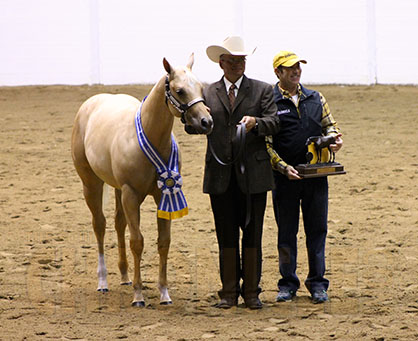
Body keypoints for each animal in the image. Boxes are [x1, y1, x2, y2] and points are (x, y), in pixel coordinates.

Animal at [71, 53, 212, 306]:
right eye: (179, 90)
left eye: (200, 87)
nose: (206, 122)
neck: (148, 136)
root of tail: (90, 103)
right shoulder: (131, 194)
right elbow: (137, 241)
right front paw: (138, 295)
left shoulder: (163, 195)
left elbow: (163, 242)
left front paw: (164, 293)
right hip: (91, 183)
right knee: (100, 225)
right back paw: (103, 281)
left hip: (117, 189)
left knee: (119, 223)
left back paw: (124, 276)